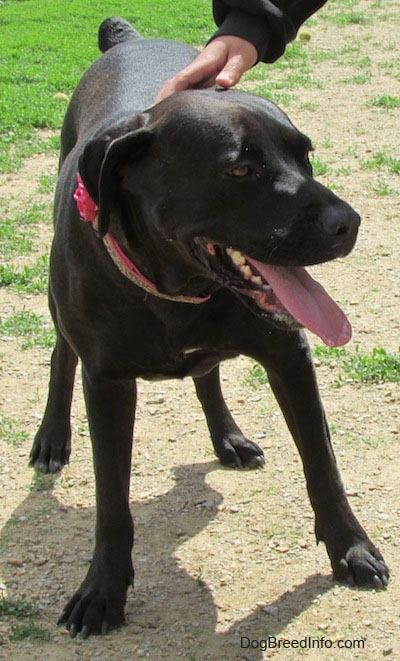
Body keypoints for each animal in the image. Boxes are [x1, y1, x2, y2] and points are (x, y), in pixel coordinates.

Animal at [29, 16, 390, 636]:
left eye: (306, 156)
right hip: (63, 314)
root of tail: (128, 38)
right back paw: (52, 437)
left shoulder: (289, 353)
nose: (350, 223)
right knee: (61, 355)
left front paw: (351, 548)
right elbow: (112, 501)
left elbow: (324, 465)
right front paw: (102, 590)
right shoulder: (108, 383)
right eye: (241, 169)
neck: (178, 292)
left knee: (207, 373)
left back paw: (228, 437)